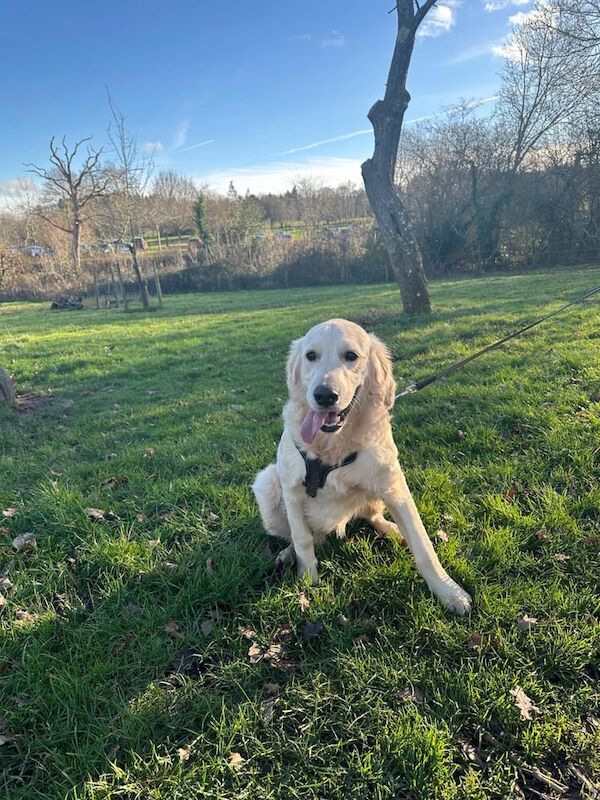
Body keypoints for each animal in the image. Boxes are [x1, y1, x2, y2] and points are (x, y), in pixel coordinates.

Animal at [251, 318, 472, 612]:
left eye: (351, 356)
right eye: (311, 356)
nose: (324, 395)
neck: (333, 445)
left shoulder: (395, 486)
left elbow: (423, 545)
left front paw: (448, 591)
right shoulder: (292, 489)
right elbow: (302, 539)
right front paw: (307, 582)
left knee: (373, 517)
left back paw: (393, 530)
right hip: (266, 482)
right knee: (308, 536)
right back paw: (287, 554)